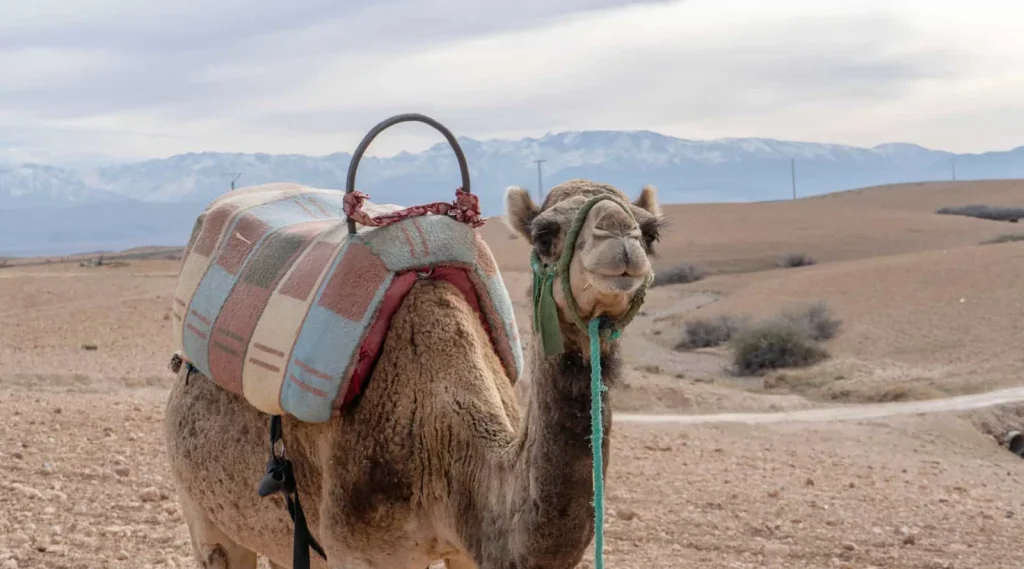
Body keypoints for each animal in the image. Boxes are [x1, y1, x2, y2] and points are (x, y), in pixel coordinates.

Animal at [163, 178, 664, 568]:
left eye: (651, 231)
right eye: (544, 234)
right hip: (199, 506)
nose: (619, 238)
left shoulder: (467, 548)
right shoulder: (361, 552)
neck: (442, 438)